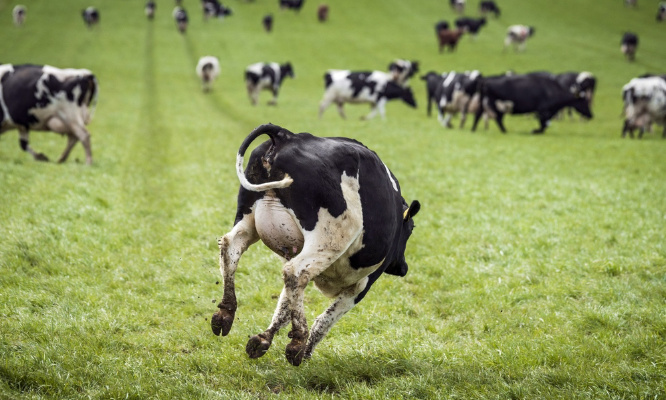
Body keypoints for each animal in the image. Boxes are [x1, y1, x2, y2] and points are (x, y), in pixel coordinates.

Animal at [210, 123, 421, 366]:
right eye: (411, 229)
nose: (402, 268)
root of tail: (288, 136)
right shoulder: (361, 285)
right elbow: (325, 319)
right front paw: (305, 350)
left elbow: (285, 305)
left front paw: (263, 339)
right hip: (328, 238)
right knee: (294, 272)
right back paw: (298, 342)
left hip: (248, 219)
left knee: (231, 246)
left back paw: (225, 314)